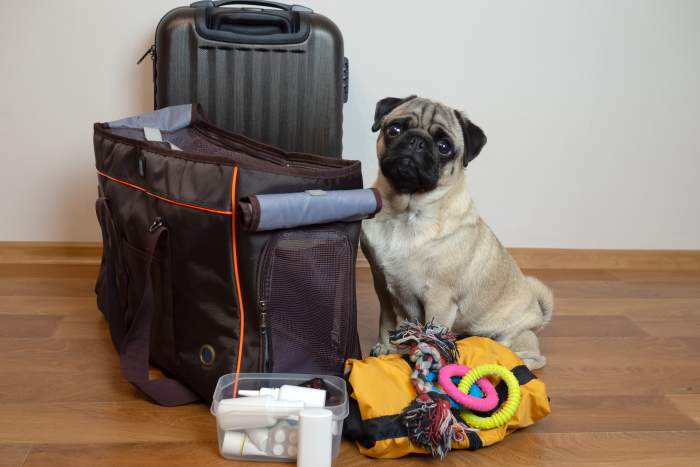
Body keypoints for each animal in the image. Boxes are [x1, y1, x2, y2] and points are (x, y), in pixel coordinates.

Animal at [360, 96, 552, 370]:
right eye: (394, 129)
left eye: (443, 147)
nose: (416, 141)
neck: (405, 214)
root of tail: (537, 315)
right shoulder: (382, 286)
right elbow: (386, 321)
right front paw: (386, 349)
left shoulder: (439, 300)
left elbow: (430, 337)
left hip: (515, 336)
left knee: (529, 357)